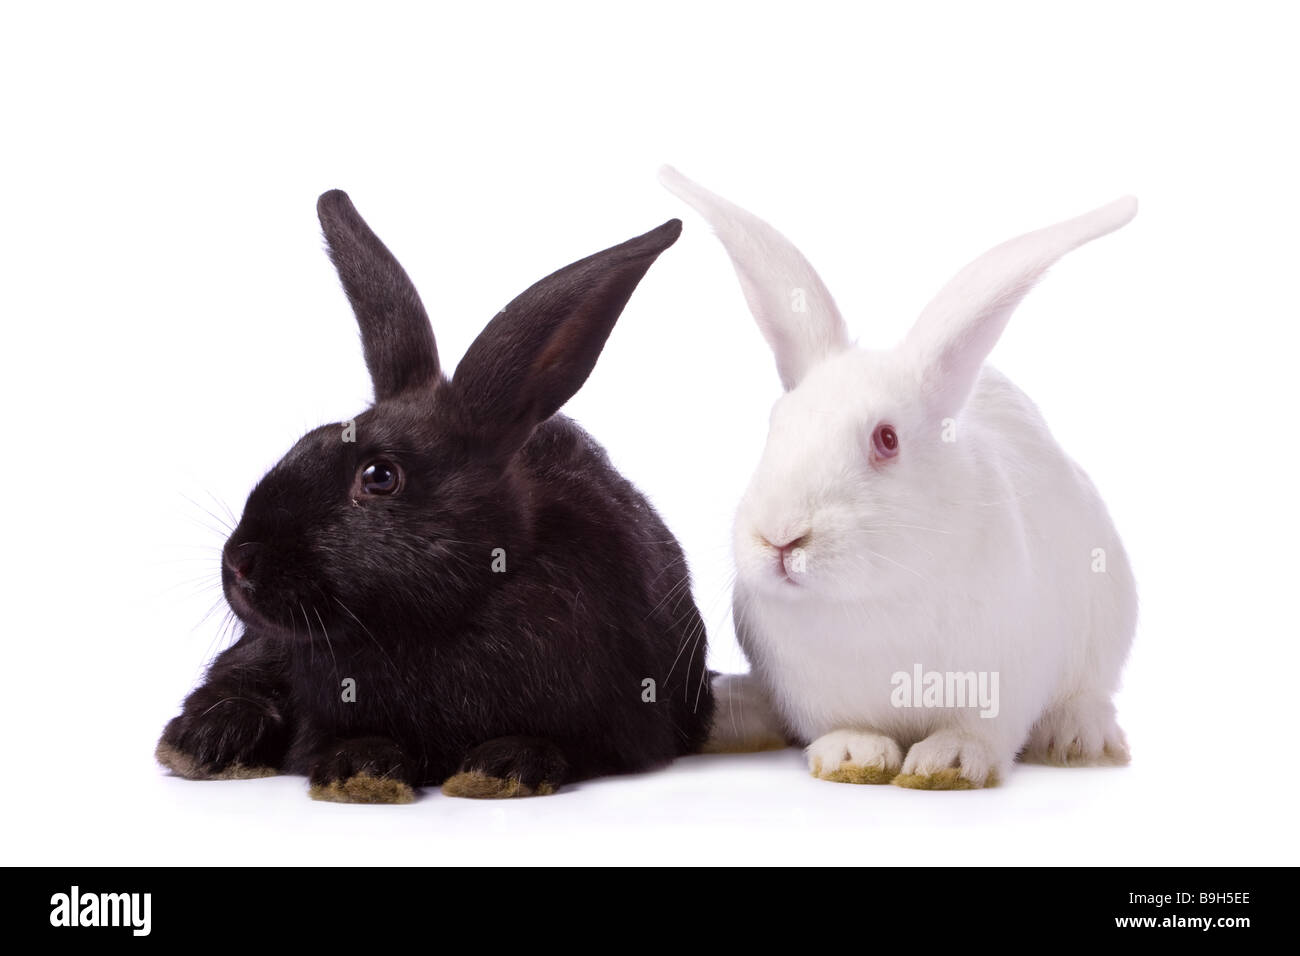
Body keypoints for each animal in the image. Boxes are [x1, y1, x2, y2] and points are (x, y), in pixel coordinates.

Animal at [156, 190, 714, 802]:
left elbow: (559, 745)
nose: (240, 563)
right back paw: (201, 742)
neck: (439, 618)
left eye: (380, 477)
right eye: (306, 443)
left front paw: (497, 769)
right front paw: (360, 772)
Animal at [660, 166, 1138, 789]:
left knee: (1088, 692)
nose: (781, 538)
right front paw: (853, 757)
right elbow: (844, 729)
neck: (875, 594)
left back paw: (1082, 739)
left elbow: (979, 733)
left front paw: (948, 765)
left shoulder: (1004, 684)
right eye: (775, 426)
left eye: (886, 439)